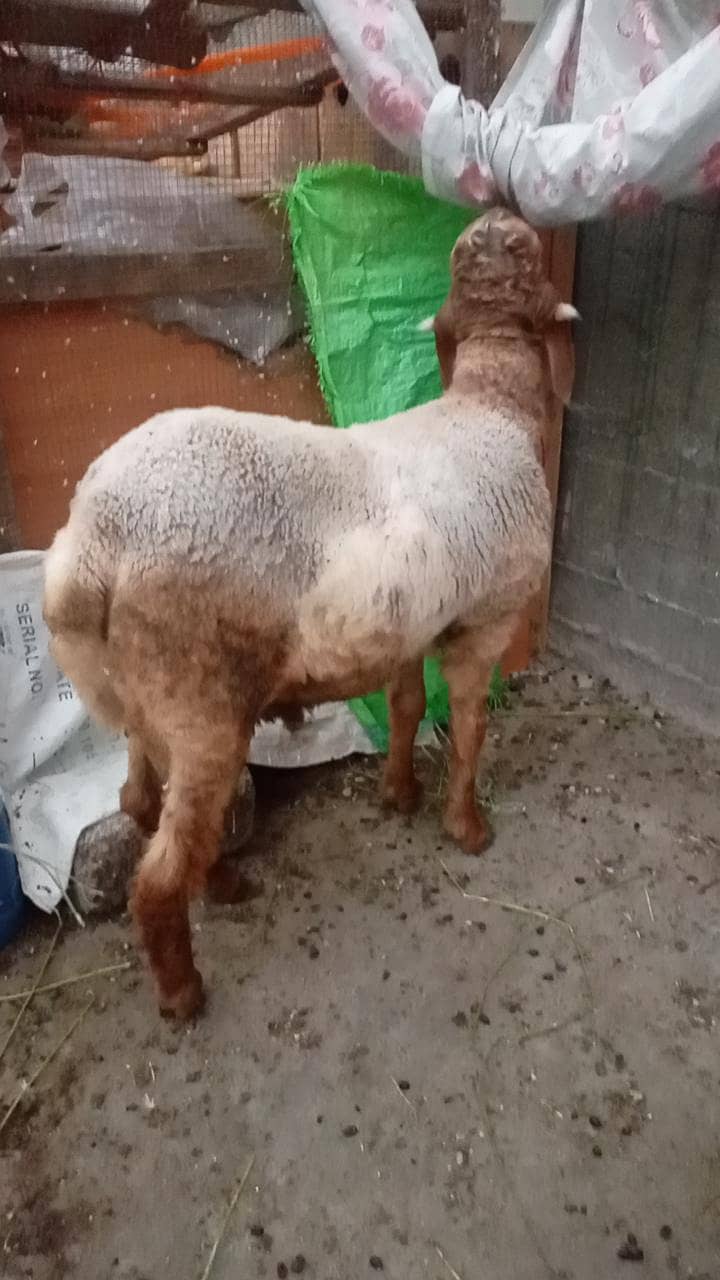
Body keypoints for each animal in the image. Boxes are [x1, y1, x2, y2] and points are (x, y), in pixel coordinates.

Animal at [43, 208, 577, 1018]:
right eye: (520, 247)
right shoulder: (484, 623)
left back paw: (222, 882)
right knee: (158, 873)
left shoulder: (410, 623)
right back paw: (185, 987)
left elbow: (407, 705)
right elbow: (470, 728)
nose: (492, 215)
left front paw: (398, 794)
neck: (488, 405)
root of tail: (93, 540)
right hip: (197, 692)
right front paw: (467, 826)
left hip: (138, 691)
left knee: (141, 803)